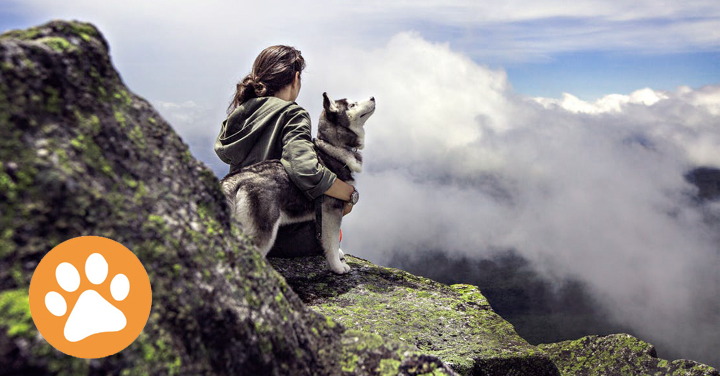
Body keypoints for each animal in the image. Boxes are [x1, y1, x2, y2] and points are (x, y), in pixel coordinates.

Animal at [219, 91, 376, 274]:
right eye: (352, 105)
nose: (373, 97)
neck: (332, 148)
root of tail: (236, 178)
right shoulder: (331, 211)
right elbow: (332, 241)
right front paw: (337, 266)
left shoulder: (322, 216)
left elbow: (329, 240)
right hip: (264, 230)